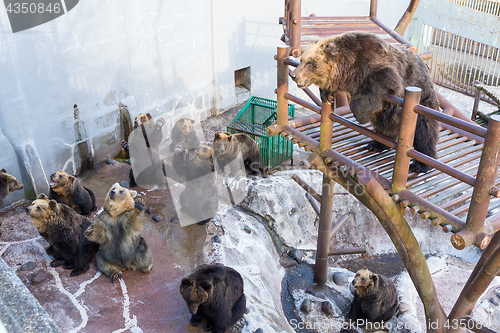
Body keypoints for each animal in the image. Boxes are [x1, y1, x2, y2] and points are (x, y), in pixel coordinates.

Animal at [292, 30, 440, 174]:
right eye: (301, 59)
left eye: (309, 63)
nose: (294, 75)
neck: (347, 68)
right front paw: (326, 95)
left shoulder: (374, 67)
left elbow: (378, 84)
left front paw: (360, 115)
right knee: (385, 128)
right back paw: (376, 144)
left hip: (422, 100)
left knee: (424, 132)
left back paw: (421, 163)